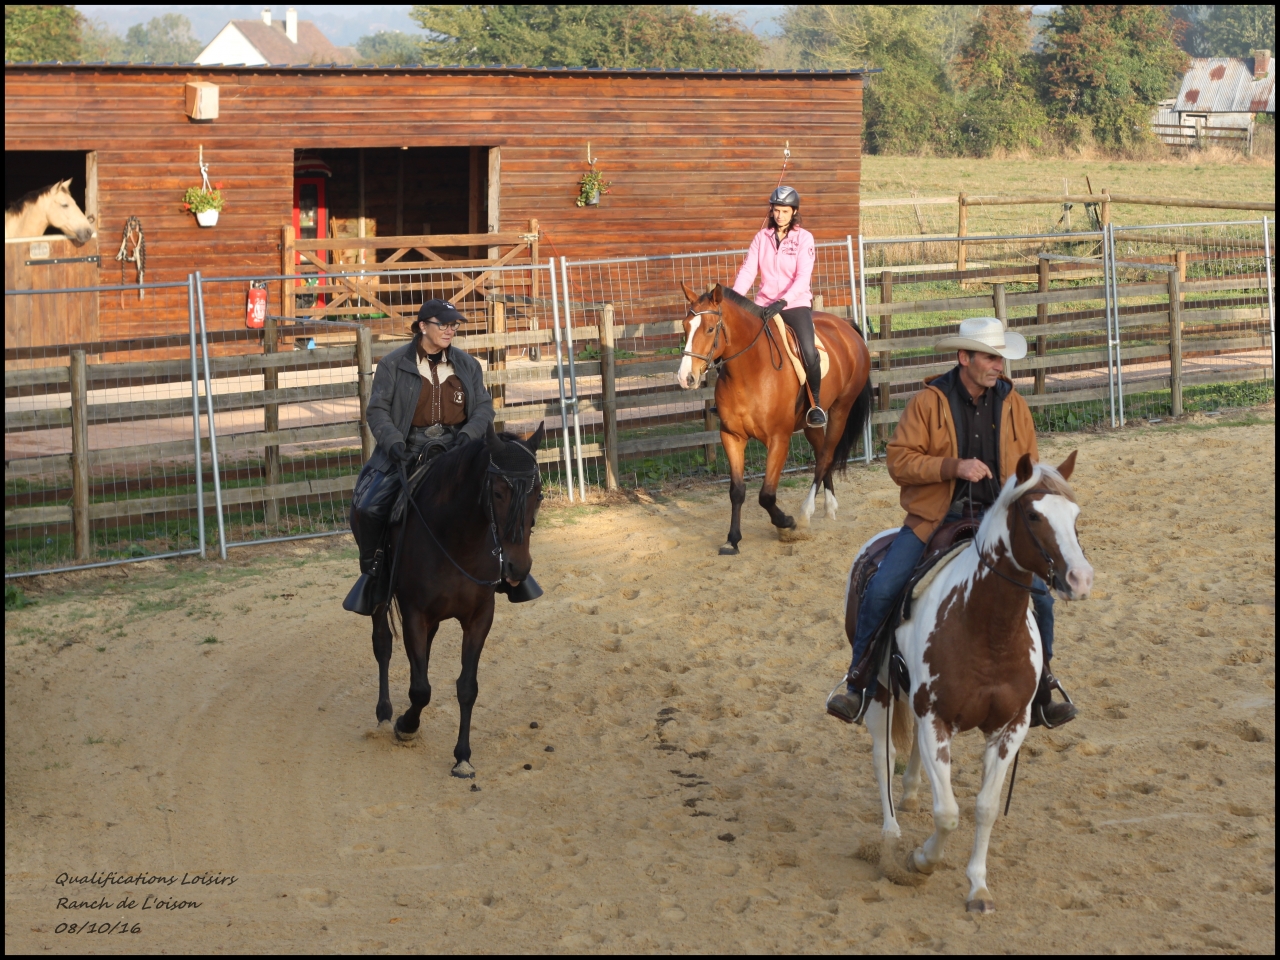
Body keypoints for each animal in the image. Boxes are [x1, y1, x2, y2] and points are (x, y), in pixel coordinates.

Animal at [358, 424, 545, 779]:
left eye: (538, 493)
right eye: (498, 492)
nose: (518, 567)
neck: (457, 539)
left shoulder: (479, 617)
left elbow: (466, 686)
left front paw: (462, 757)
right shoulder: (414, 612)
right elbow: (421, 688)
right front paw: (406, 726)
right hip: (381, 597)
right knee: (382, 644)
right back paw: (385, 713)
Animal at [675, 283, 872, 555]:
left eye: (710, 328)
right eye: (685, 326)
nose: (686, 378)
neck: (751, 371)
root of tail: (845, 326)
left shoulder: (779, 439)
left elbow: (766, 495)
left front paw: (786, 523)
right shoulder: (732, 437)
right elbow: (737, 491)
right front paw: (732, 540)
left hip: (840, 410)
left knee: (825, 457)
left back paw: (806, 513)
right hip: (810, 423)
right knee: (822, 453)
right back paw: (829, 507)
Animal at [851, 451, 1093, 913]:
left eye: (1075, 515)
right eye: (1033, 515)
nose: (1080, 579)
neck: (986, 630)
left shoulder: (1010, 727)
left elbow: (985, 807)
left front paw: (978, 887)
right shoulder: (935, 720)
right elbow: (948, 812)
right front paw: (921, 860)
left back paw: (910, 793)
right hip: (879, 693)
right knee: (882, 756)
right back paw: (891, 833)